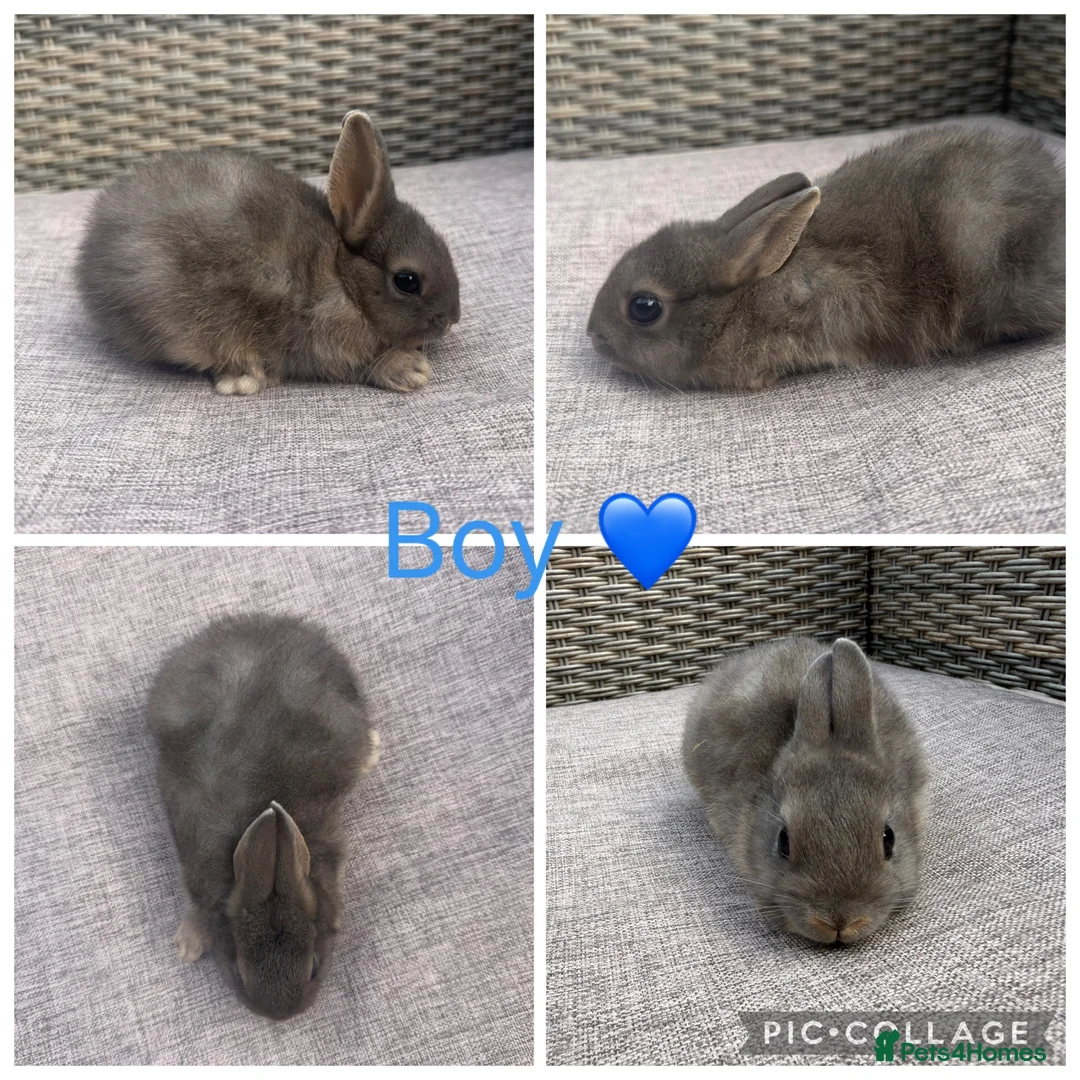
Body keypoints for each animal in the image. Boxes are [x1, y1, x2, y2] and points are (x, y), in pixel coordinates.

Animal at [77, 111, 460, 395]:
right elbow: (362, 365)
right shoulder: (327, 343)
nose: (451, 319)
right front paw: (411, 369)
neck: (343, 275)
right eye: (407, 281)